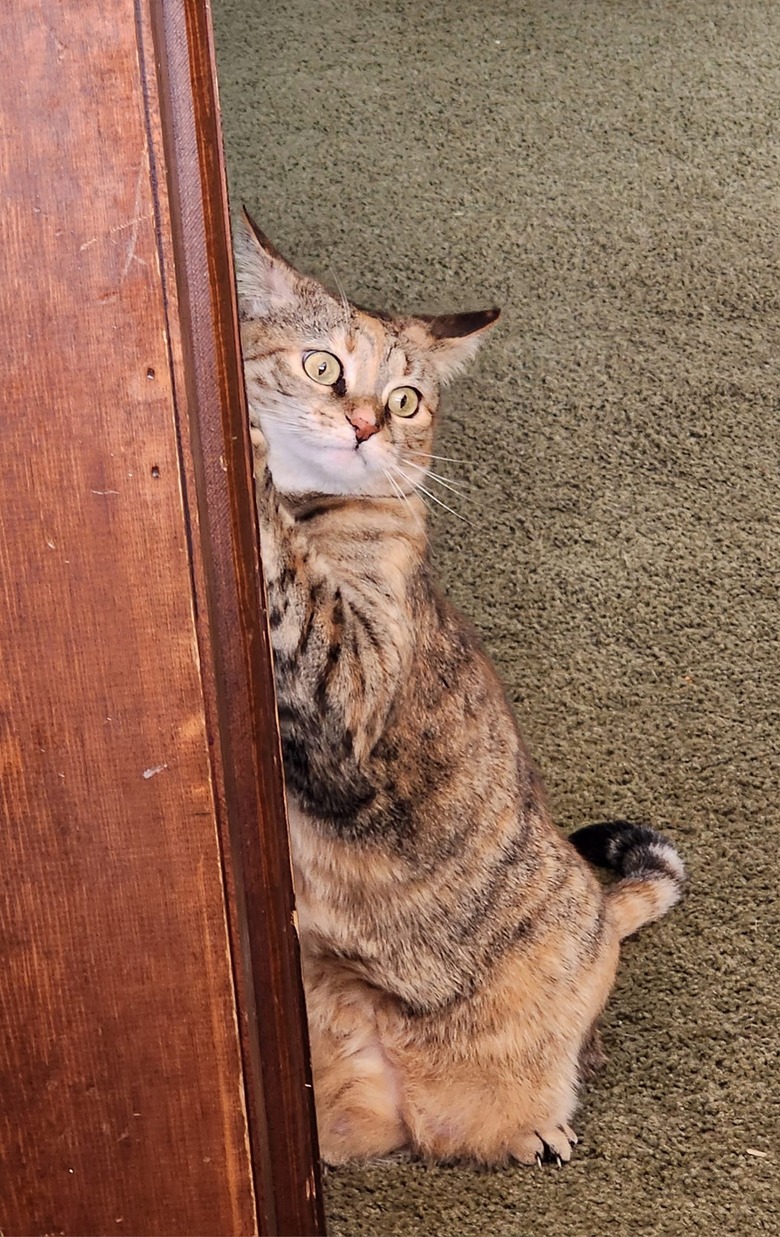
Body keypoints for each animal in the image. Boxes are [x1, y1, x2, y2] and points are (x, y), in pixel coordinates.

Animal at [234, 212, 687, 1167]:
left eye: (406, 400)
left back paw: (533, 1129)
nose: (365, 423)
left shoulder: (349, 686)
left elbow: (293, 581)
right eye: (323, 365)